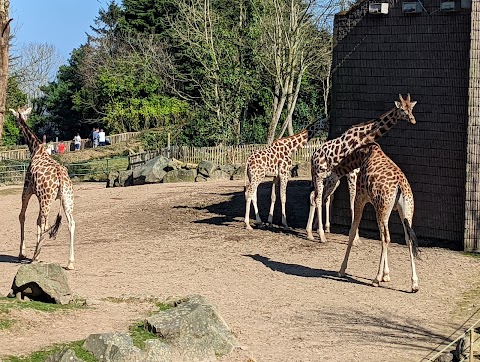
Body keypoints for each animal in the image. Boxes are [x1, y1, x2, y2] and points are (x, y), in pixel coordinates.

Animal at [9, 106, 76, 270]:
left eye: (16, 117)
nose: (17, 124)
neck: (35, 149)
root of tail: (60, 177)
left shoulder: (27, 189)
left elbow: (22, 216)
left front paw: (23, 253)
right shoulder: (39, 196)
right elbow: (37, 221)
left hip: (47, 199)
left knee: (45, 224)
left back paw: (35, 256)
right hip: (67, 199)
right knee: (71, 223)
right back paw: (70, 263)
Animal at [308, 93, 416, 243]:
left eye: (411, 108)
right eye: (402, 109)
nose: (413, 120)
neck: (362, 137)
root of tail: (313, 157)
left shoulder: (356, 170)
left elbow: (351, 200)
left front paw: (356, 237)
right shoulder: (351, 172)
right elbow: (352, 200)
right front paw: (355, 237)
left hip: (331, 179)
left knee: (318, 196)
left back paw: (311, 232)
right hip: (319, 175)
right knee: (318, 198)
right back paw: (321, 235)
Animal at [322, 143, 420, 292]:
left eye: (325, 182)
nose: (323, 198)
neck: (360, 156)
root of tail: (400, 186)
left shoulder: (360, 197)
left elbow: (352, 232)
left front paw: (341, 270)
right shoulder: (379, 208)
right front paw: (386, 275)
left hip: (383, 208)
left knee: (386, 238)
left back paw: (376, 279)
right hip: (405, 210)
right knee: (407, 238)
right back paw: (414, 284)